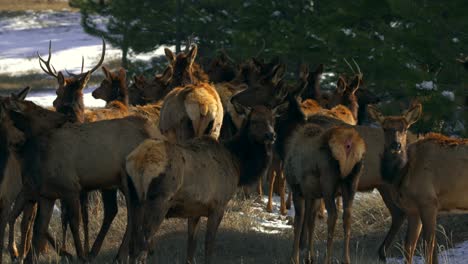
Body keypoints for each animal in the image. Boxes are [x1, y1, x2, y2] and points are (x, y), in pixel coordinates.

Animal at [121, 102, 282, 264]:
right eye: (254, 121)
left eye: (273, 120)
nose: (272, 135)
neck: (238, 164)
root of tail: (138, 162)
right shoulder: (218, 205)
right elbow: (208, 245)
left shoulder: (194, 210)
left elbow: (191, 247)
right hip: (159, 200)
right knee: (142, 248)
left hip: (133, 199)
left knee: (132, 244)